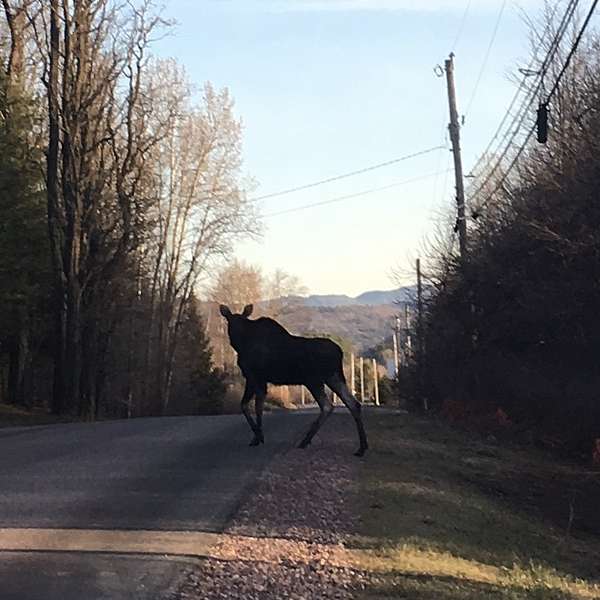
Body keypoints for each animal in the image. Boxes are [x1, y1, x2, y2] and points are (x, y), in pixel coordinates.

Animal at [218, 304, 368, 454]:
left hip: (314, 380)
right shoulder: (257, 379)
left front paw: (258, 437)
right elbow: (251, 405)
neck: (243, 344)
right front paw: (257, 437)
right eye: (230, 321)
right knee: (352, 404)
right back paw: (361, 447)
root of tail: (340, 352)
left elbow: (251, 406)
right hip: (333, 377)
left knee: (327, 405)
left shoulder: (255, 377)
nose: (234, 335)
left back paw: (305, 441)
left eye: (236, 322)